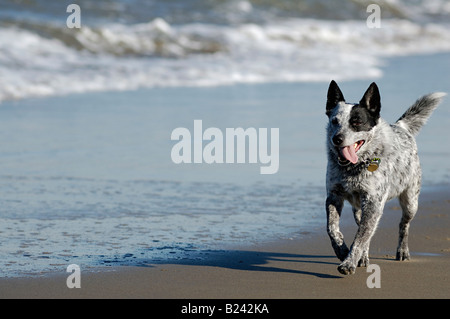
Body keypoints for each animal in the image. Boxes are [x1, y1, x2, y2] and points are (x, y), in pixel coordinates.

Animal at [326, 81, 444, 276]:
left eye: (356, 122)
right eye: (334, 121)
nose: (337, 139)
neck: (354, 167)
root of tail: (401, 127)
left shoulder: (373, 202)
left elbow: (360, 238)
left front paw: (348, 263)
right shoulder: (334, 195)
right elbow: (332, 228)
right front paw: (342, 250)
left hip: (411, 201)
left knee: (403, 225)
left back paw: (402, 251)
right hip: (360, 209)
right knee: (365, 229)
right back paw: (363, 257)